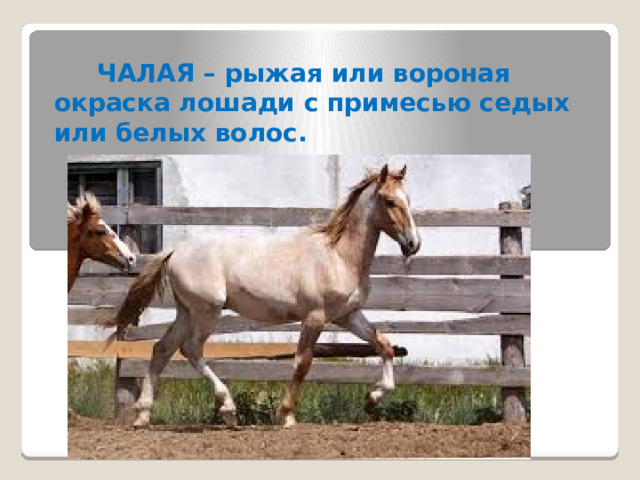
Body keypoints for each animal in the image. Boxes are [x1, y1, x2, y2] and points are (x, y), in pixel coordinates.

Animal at [107, 164, 421, 428]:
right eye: (389, 201)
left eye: (408, 198)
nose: (413, 244)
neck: (339, 256)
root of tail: (175, 250)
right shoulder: (314, 318)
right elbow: (302, 363)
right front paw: (287, 416)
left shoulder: (347, 316)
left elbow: (384, 345)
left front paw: (372, 399)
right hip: (208, 311)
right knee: (191, 349)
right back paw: (228, 409)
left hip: (186, 311)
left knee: (162, 349)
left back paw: (143, 416)